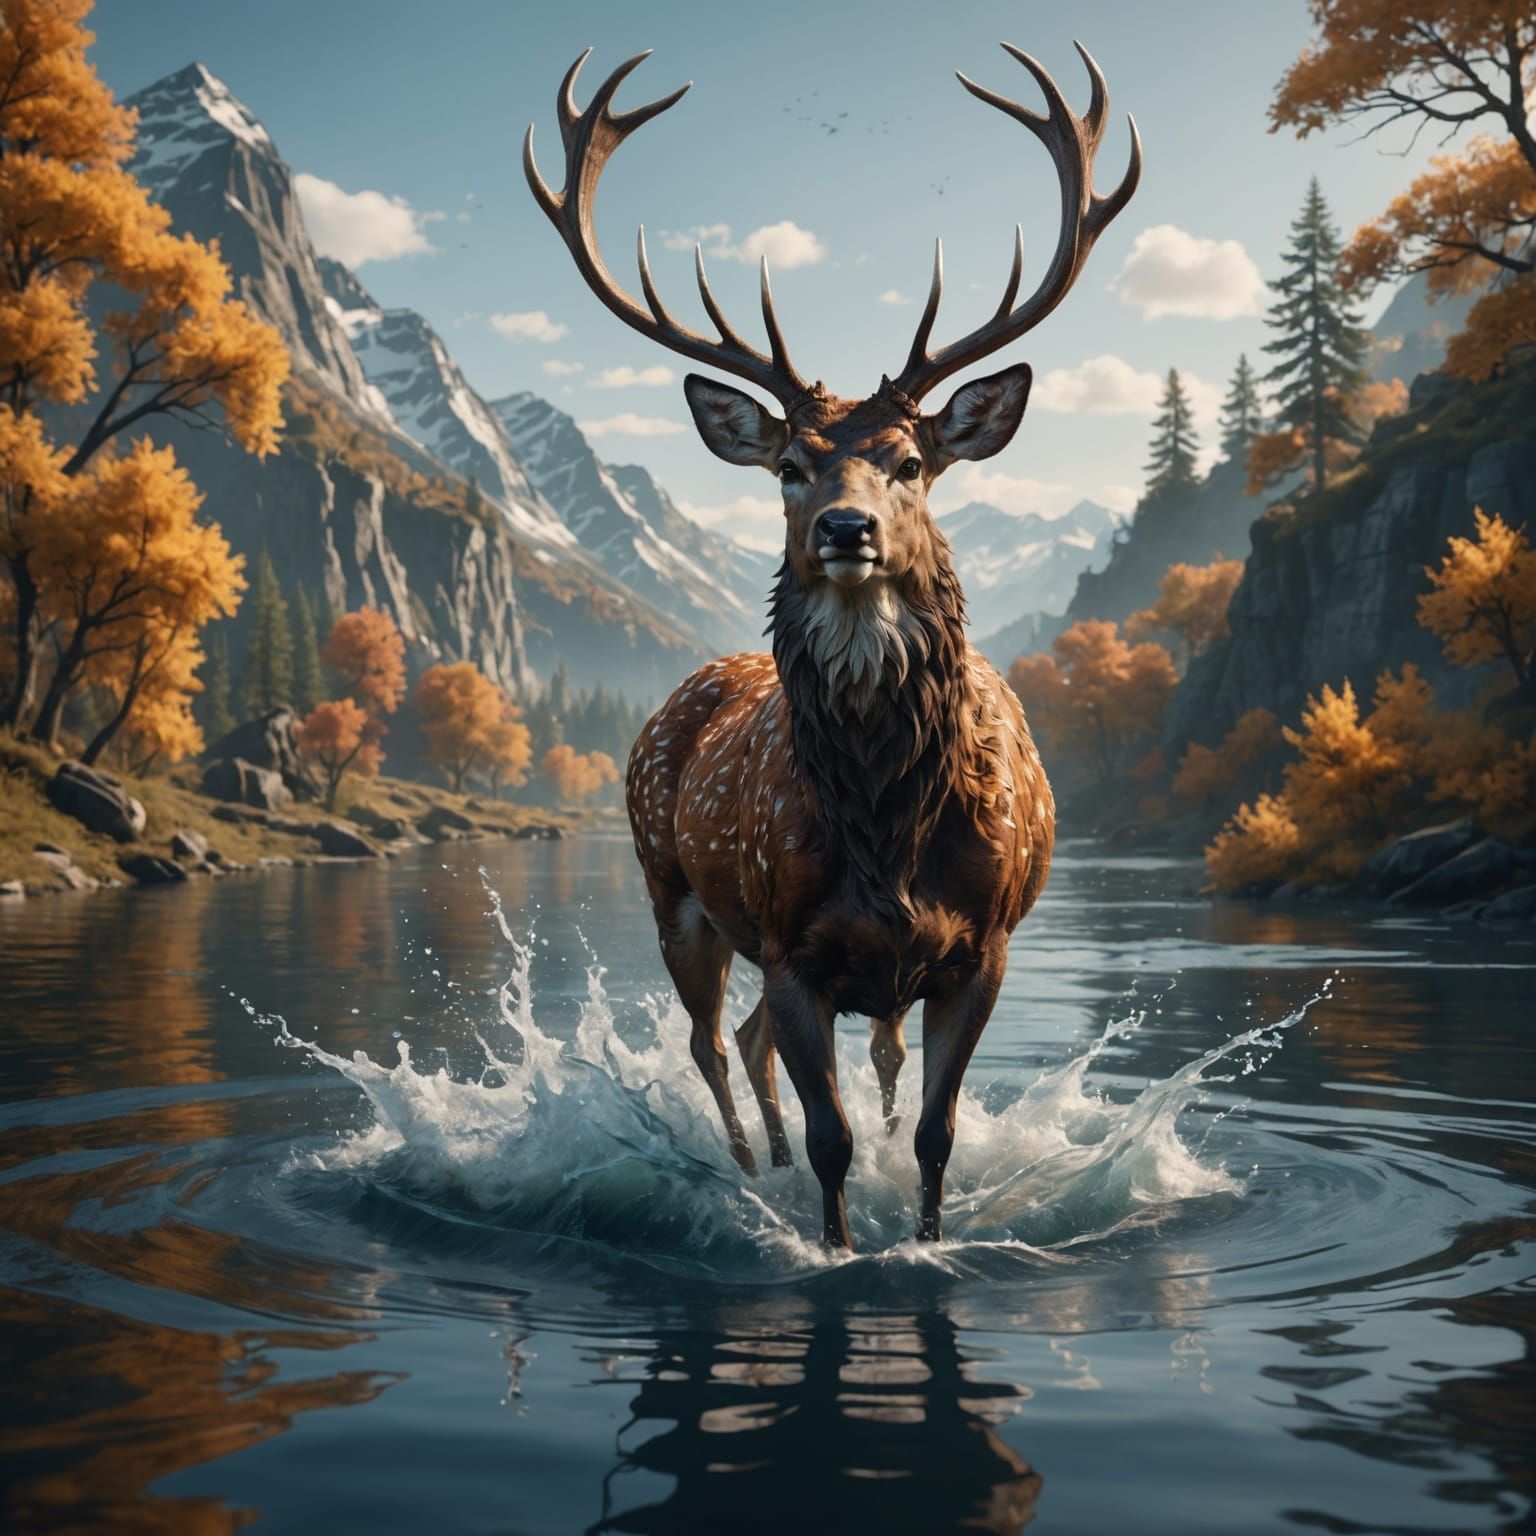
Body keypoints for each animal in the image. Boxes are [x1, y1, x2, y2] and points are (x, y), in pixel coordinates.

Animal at [524, 42, 1140, 1247]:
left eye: (911, 461)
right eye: (790, 465)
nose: (844, 529)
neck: (885, 828)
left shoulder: (982, 947)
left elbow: (933, 1132)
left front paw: (931, 1241)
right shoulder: (788, 940)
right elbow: (834, 1141)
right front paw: (835, 1249)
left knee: (759, 1044)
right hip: (672, 886)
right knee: (714, 1043)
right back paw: (742, 1172)